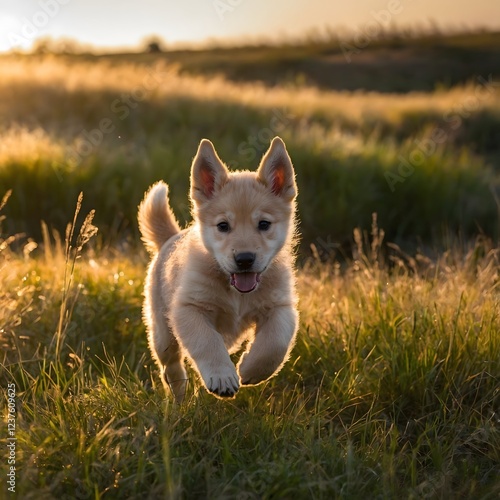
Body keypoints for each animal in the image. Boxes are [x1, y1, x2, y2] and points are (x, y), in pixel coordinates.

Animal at [139, 137, 298, 402]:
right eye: (223, 226)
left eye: (264, 224)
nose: (244, 259)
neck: (236, 293)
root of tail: (171, 237)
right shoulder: (188, 308)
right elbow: (207, 341)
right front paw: (222, 376)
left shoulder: (280, 307)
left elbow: (275, 344)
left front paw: (250, 369)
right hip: (162, 333)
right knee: (171, 367)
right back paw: (179, 399)